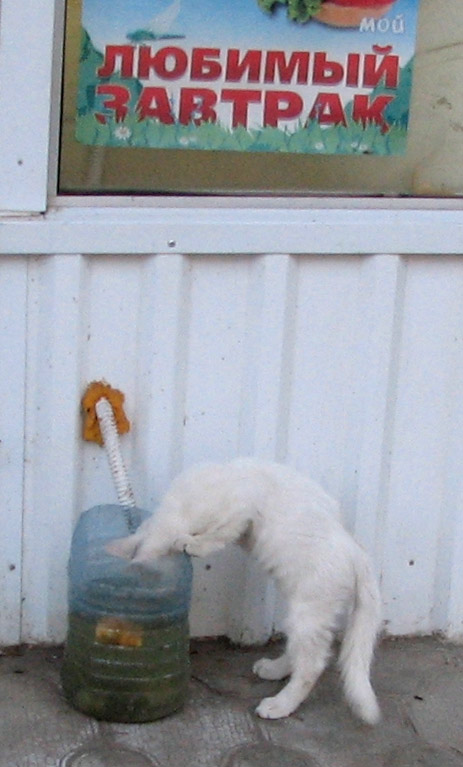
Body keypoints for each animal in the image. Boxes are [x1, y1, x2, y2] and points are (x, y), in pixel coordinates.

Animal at [108, 458, 382, 724]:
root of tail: (358, 552)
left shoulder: (240, 505)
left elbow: (220, 533)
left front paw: (192, 543)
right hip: (303, 612)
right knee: (300, 653)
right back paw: (274, 670)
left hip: (309, 611)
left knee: (312, 665)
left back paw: (280, 705)